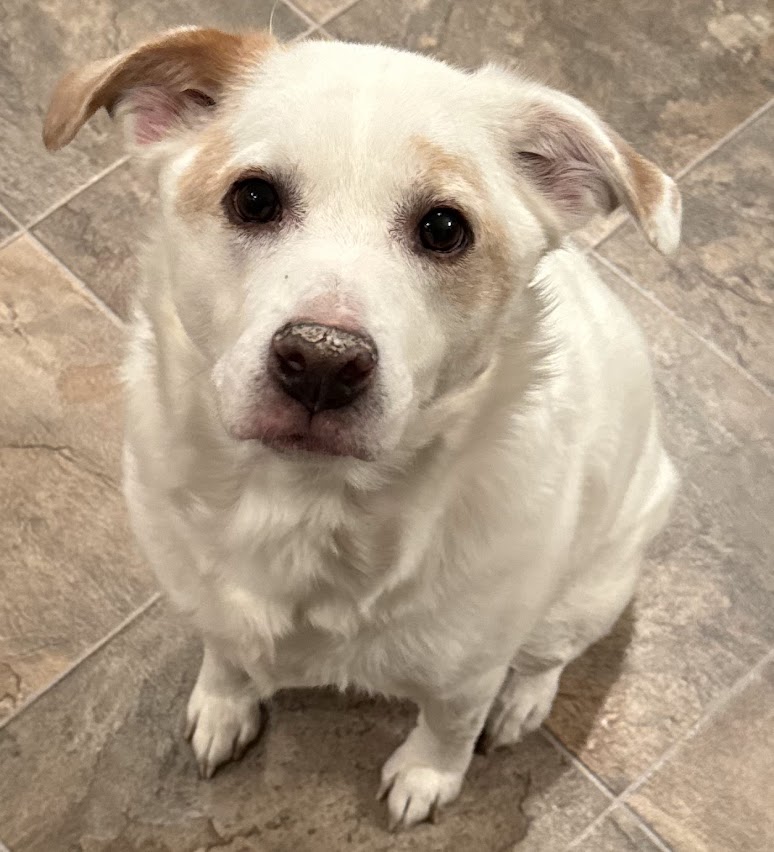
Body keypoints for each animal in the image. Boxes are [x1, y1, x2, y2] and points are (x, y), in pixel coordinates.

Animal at [44, 27, 679, 831]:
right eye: (252, 197)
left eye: (444, 228)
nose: (321, 360)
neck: (306, 500)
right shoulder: (202, 591)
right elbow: (225, 649)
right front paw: (224, 702)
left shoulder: (467, 671)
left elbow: (449, 725)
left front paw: (428, 777)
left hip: (591, 588)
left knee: (546, 657)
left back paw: (524, 702)